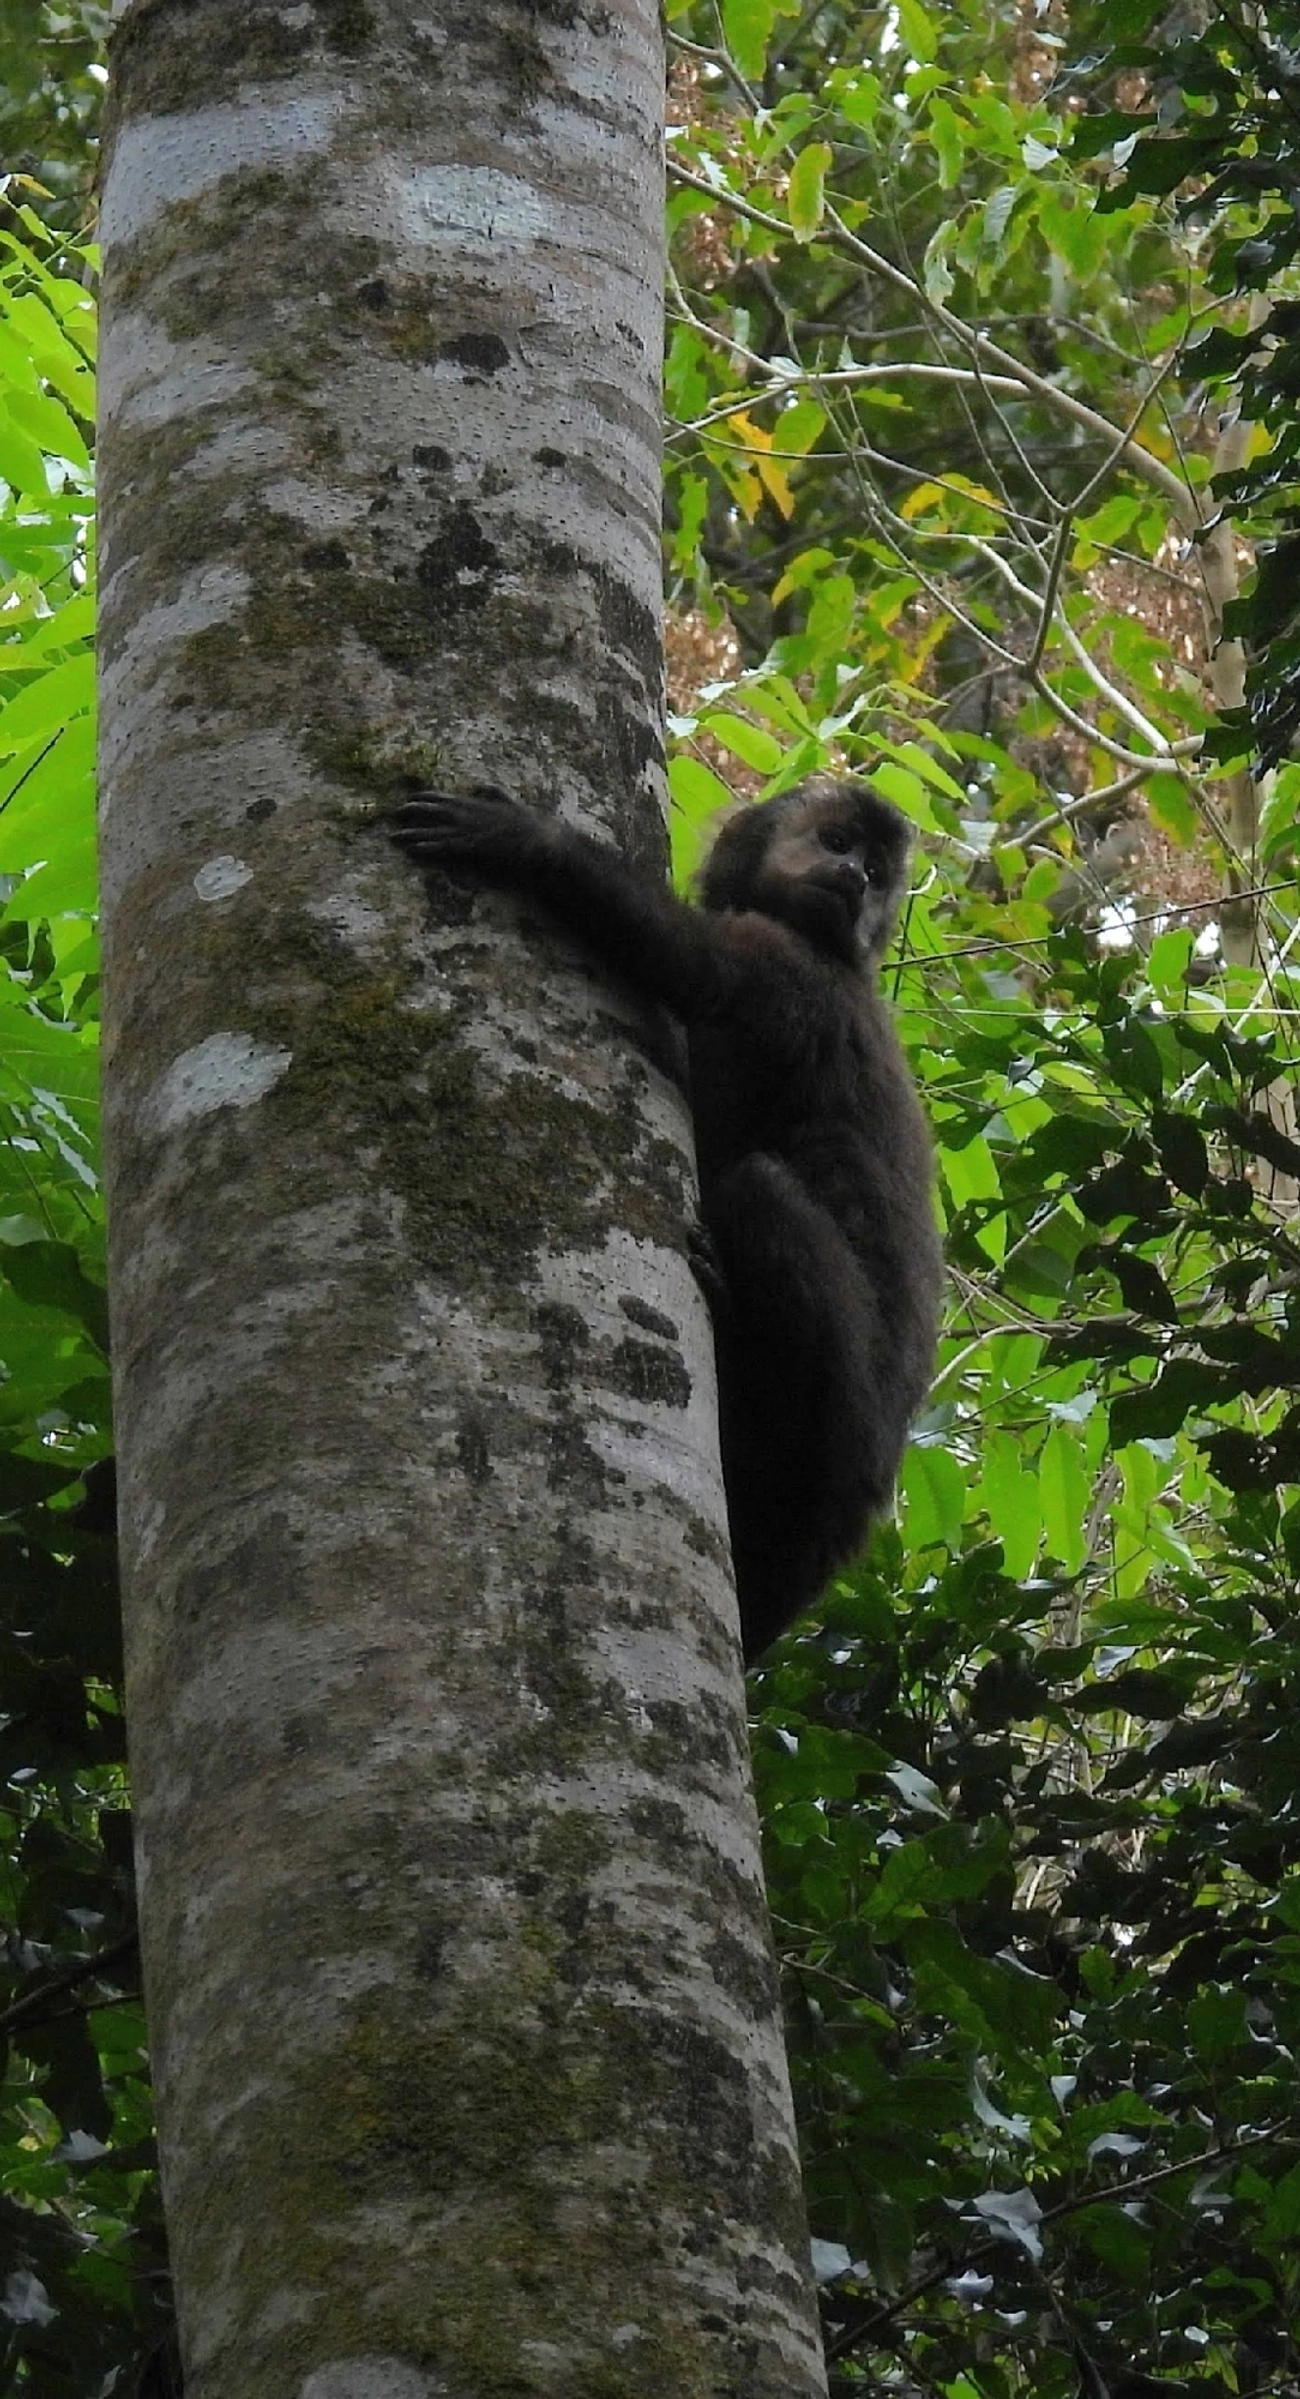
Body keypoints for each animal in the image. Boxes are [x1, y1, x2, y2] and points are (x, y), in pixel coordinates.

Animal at [389, 775, 942, 1664]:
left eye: (877, 869)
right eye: (840, 845)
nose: (858, 881)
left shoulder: (786, 966)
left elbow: (694, 965)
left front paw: (526, 841)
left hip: (845, 1422)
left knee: (757, 1189)